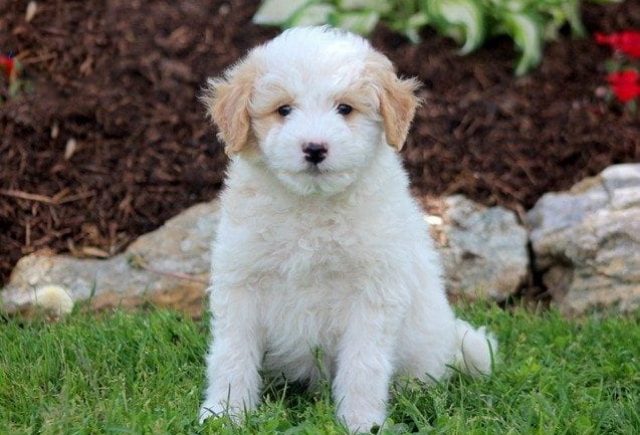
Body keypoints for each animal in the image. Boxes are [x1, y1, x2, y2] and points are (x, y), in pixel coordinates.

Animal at [198, 26, 498, 432]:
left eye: (345, 109)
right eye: (284, 110)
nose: (314, 148)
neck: (312, 208)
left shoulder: (373, 295)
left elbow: (363, 365)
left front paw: (361, 422)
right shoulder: (241, 281)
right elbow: (231, 354)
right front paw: (225, 414)